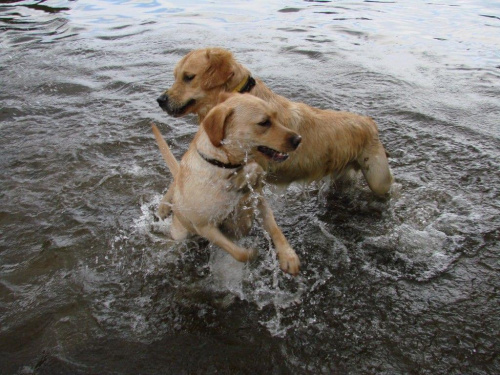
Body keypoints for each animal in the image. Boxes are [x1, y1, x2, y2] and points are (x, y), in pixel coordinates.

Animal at [151, 93, 300, 276]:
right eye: (264, 122)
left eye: (276, 117)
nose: (298, 139)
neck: (226, 168)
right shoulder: (205, 227)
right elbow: (238, 253)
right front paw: (252, 253)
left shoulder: (259, 202)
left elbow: (275, 229)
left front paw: (288, 256)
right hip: (181, 232)